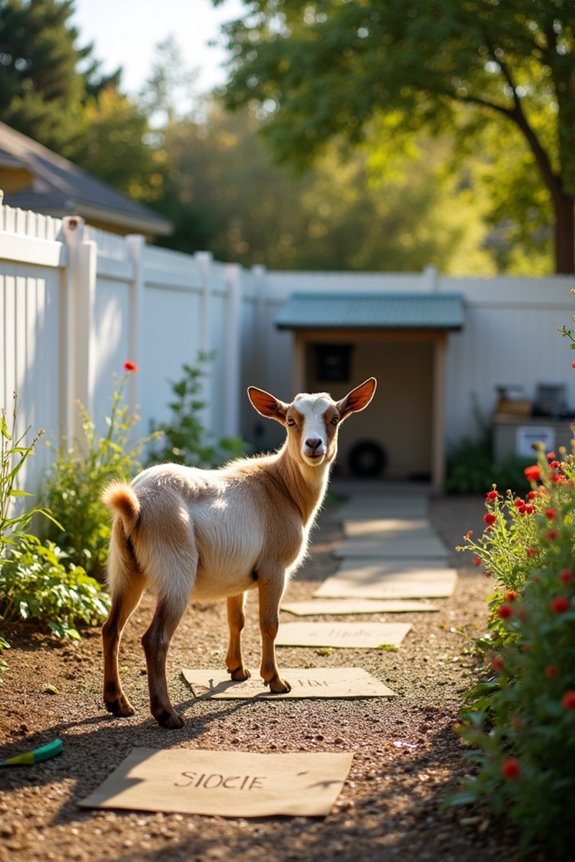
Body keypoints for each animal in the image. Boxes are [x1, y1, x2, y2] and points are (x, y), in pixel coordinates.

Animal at [101, 377, 377, 728]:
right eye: (291, 420)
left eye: (335, 418)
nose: (314, 445)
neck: (282, 487)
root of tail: (135, 505)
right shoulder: (274, 568)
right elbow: (269, 623)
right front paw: (275, 681)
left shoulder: (237, 577)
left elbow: (237, 620)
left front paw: (237, 670)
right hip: (176, 569)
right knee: (155, 638)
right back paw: (166, 714)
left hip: (126, 570)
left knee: (112, 629)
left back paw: (117, 703)